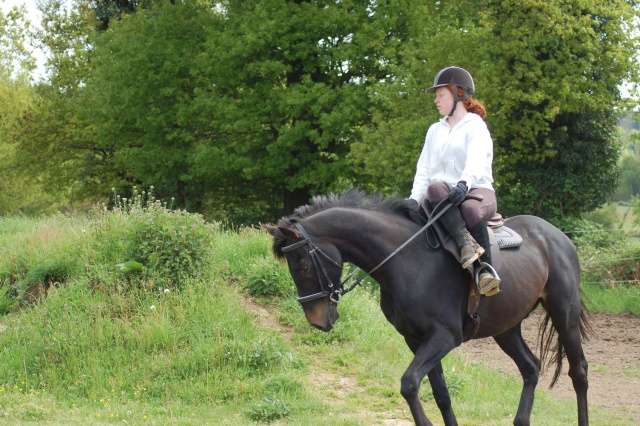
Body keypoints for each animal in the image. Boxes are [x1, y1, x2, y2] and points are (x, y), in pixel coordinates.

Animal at [264, 191, 592, 426]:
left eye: (303, 266)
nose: (317, 321)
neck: (407, 260)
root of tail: (558, 236)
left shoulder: (445, 336)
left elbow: (409, 384)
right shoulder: (416, 339)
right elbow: (441, 393)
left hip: (564, 316)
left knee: (578, 373)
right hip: (506, 328)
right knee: (531, 367)